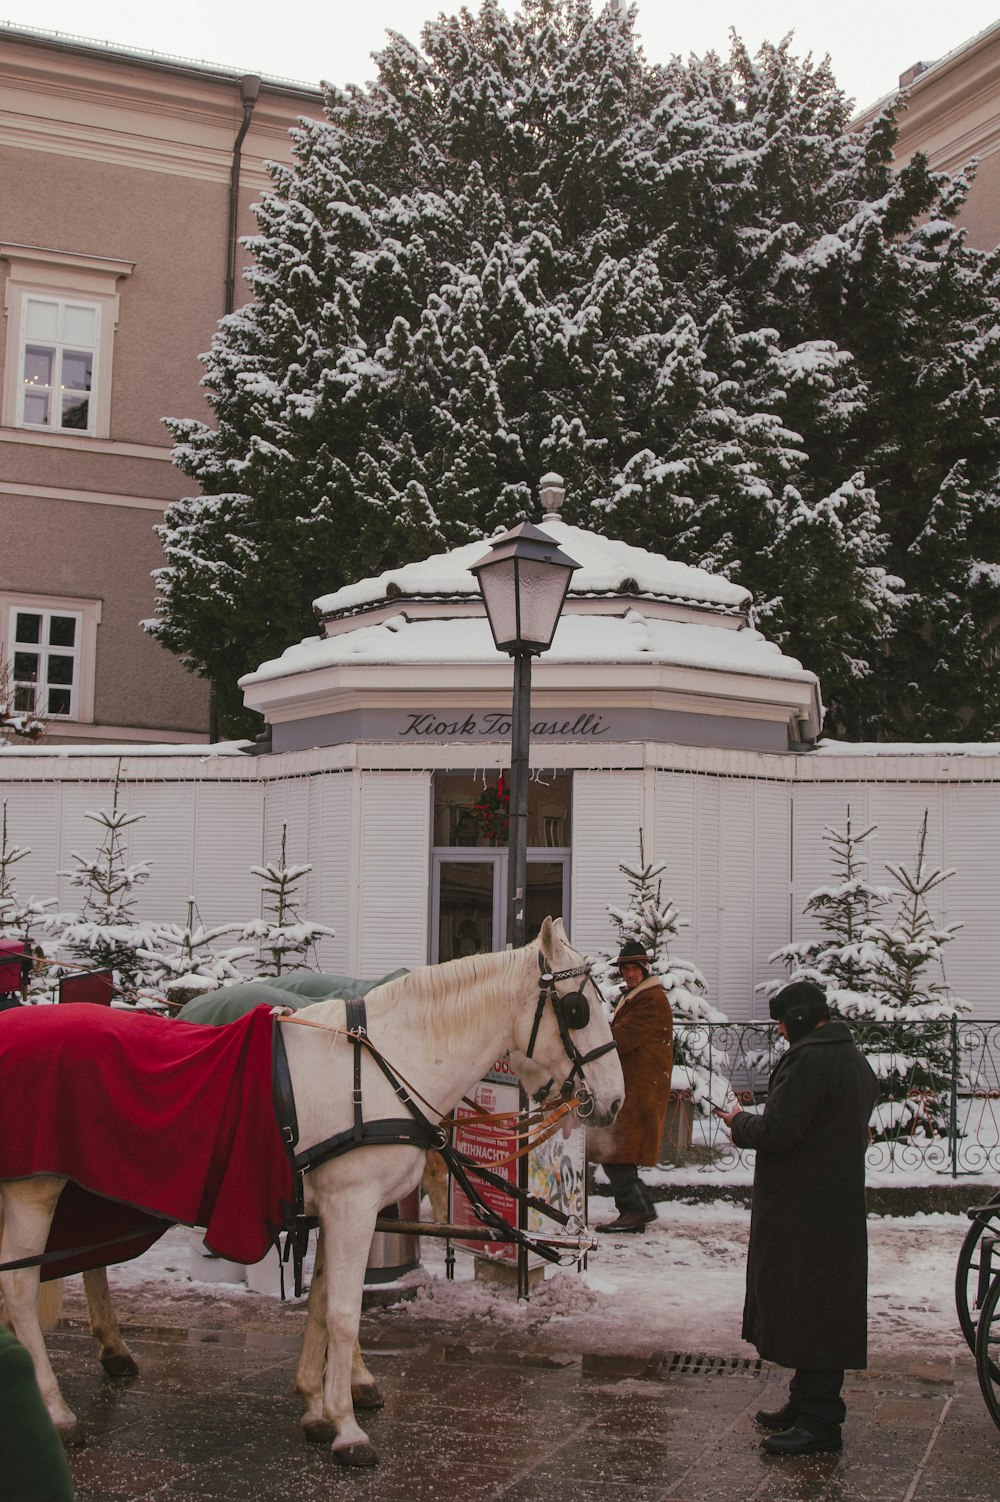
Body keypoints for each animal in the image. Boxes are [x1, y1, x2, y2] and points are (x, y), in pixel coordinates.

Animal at [1, 913, 615, 1465]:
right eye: (577, 1009)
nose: (612, 1101)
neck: (386, 1066)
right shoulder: (352, 1204)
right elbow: (343, 1310)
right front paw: (346, 1428)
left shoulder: (332, 1208)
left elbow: (320, 1302)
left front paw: (317, 1407)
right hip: (35, 1191)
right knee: (21, 1288)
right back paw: (56, 1412)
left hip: (87, 1190)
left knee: (84, 1265)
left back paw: (108, 1352)